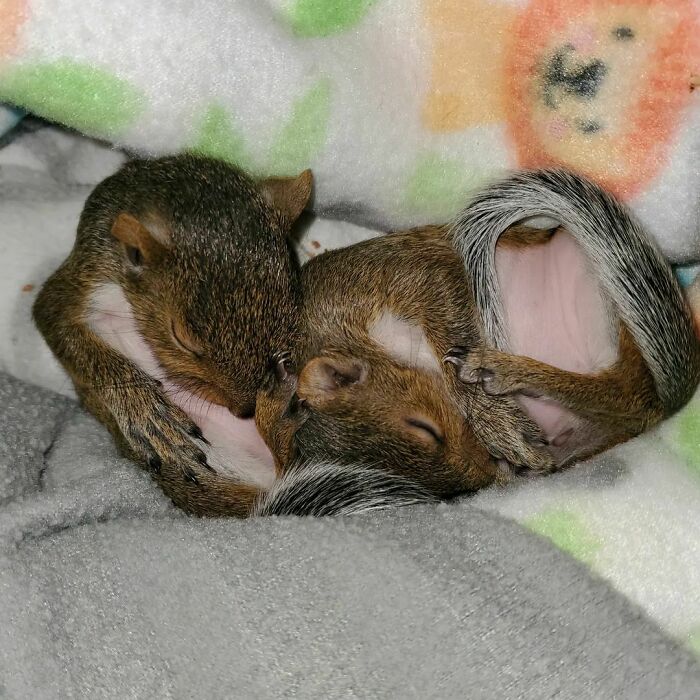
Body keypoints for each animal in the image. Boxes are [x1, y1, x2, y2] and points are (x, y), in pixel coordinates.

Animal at [32, 160, 700, 520]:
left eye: (287, 289)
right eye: (181, 337)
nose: (485, 471)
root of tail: (660, 400)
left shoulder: (411, 276)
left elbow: (451, 317)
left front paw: (492, 417)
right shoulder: (77, 292)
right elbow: (66, 335)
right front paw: (140, 406)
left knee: (614, 389)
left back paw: (508, 379)